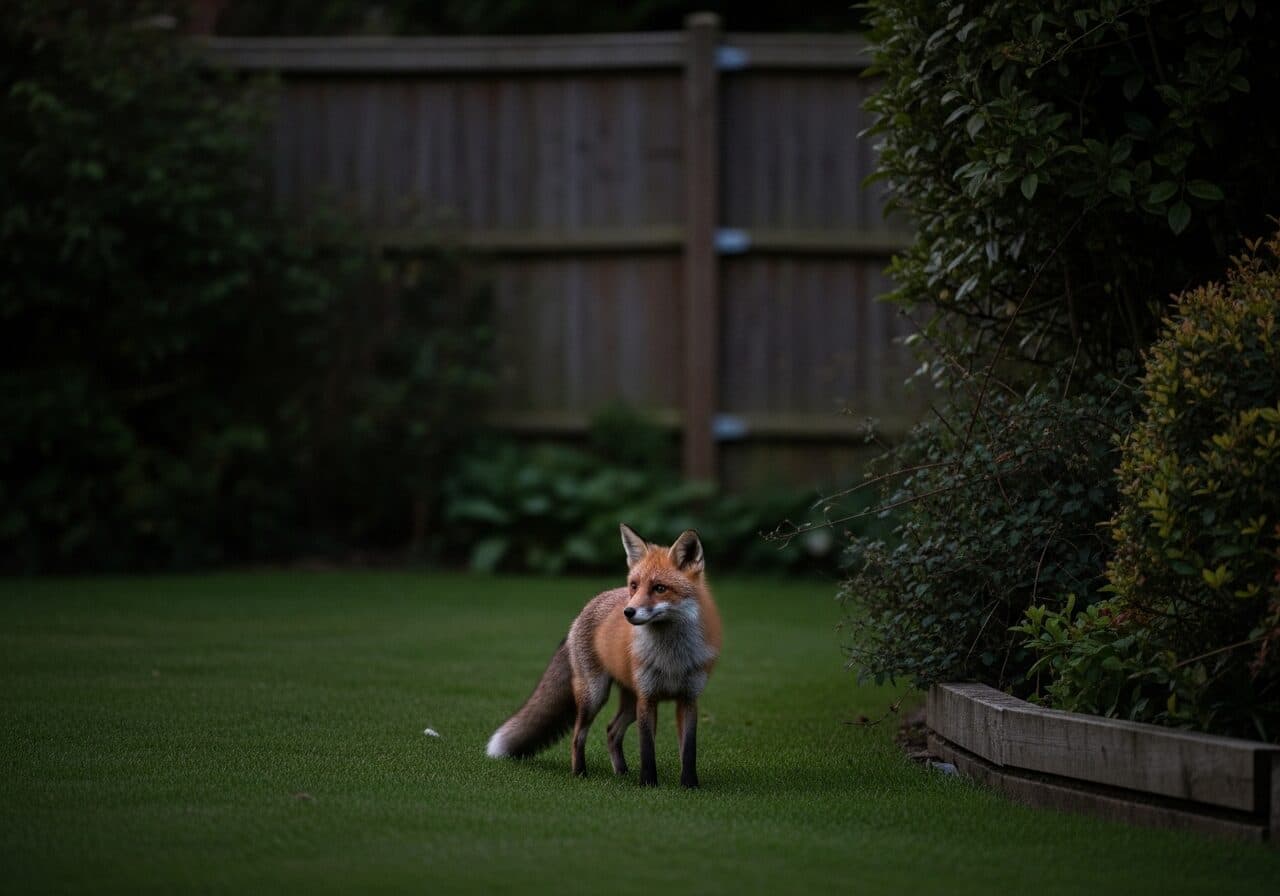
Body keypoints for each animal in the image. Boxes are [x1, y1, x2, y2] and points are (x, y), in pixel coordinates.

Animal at [485, 524, 721, 787]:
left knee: (611, 731)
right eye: (634, 585)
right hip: (595, 695)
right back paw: (580, 773)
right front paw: (648, 783)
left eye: (660, 588)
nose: (628, 611)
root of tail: (587, 607)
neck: (671, 657)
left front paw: (689, 785)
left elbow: (688, 750)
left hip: (629, 702)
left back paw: (622, 772)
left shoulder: (688, 699)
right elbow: (647, 748)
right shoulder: (647, 699)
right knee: (578, 735)